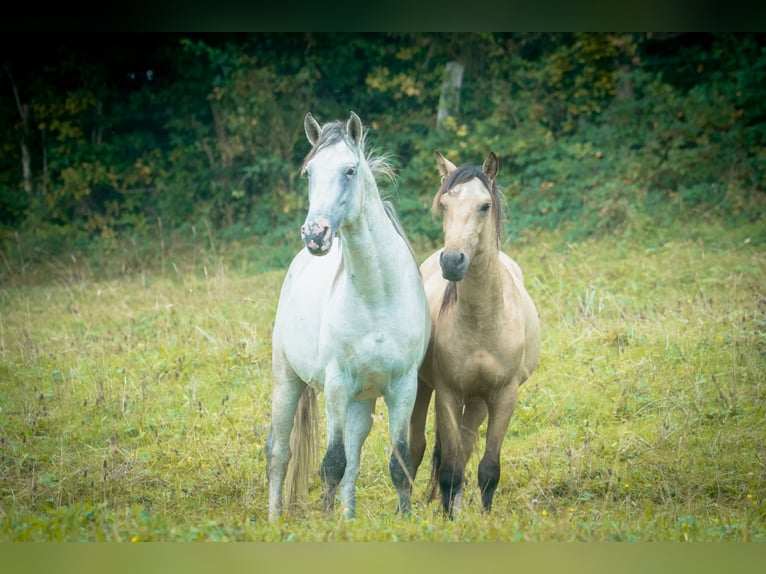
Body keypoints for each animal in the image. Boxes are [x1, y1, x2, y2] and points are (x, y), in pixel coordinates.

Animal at [266, 112, 431, 521]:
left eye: (350, 170)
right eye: (309, 172)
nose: (315, 234)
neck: (377, 297)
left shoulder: (403, 387)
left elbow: (399, 463)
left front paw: (405, 521)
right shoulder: (337, 385)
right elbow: (331, 464)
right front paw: (327, 524)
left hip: (362, 401)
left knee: (353, 463)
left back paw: (348, 517)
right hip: (287, 382)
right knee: (279, 453)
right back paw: (274, 520)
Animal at [409, 150, 541, 518]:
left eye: (484, 206)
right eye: (445, 205)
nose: (452, 261)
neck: (482, 322)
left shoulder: (504, 395)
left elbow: (488, 468)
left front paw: (482, 518)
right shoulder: (448, 394)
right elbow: (450, 468)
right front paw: (450, 519)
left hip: (479, 401)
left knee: (467, 448)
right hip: (424, 388)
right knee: (416, 450)